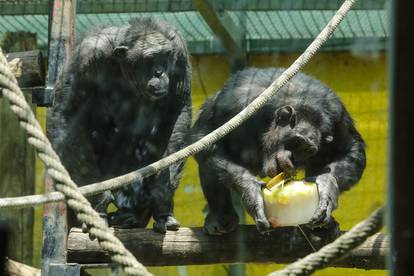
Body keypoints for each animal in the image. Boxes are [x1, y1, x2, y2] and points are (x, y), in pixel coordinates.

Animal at [48, 17, 192, 233]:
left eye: (166, 55)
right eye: (150, 59)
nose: (160, 72)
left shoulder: (179, 50)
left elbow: (176, 110)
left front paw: (162, 201)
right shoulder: (86, 56)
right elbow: (67, 114)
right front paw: (98, 204)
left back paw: (132, 215)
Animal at [191, 67, 366, 235]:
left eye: (307, 150)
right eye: (296, 142)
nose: (293, 158)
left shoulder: (338, 117)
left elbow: (350, 149)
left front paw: (327, 186)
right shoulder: (234, 105)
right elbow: (207, 139)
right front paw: (251, 193)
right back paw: (220, 218)